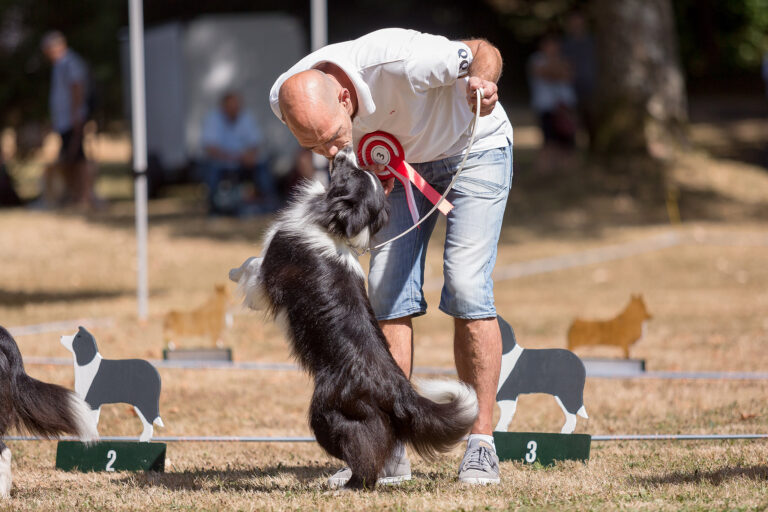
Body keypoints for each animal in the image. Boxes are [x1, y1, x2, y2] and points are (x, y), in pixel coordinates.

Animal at [231, 146, 476, 490]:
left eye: (350, 175)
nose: (346, 148)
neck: (332, 223)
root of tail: (398, 389)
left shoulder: (269, 272)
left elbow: (252, 265)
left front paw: (234, 273)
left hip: (329, 415)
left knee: (361, 454)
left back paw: (346, 485)